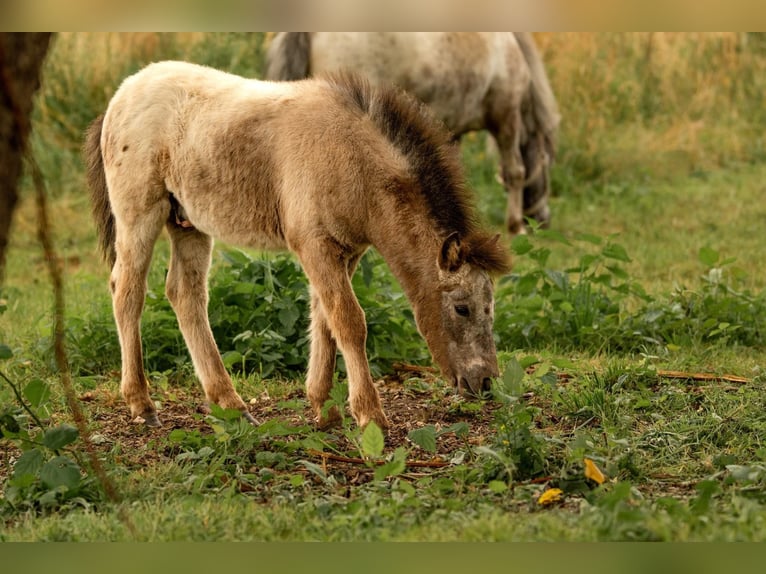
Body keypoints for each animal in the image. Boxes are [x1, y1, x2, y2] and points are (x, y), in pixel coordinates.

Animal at [84, 62, 512, 432]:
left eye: (490, 307)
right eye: (462, 308)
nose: (486, 382)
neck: (354, 160)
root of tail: (121, 95)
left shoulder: (344, 251)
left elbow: (325, 319)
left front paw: (325, 408)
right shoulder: (315, 245)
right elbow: (349, 322)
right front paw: (369, 415)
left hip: (187, 224)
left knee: (184, 294)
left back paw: (230, 404)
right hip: (140, 214)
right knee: (127, 292)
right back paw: (142, 403)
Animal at [268, 32, 560, 236]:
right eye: (547, 162)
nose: (543, 220)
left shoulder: (450, 129)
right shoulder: (506, 118)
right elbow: (515, 171)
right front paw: (515, 226)